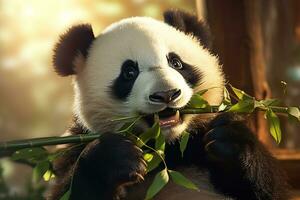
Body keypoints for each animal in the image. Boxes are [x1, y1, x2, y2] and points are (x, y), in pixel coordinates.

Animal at [47, 10, 288, 200]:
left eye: (176, 63)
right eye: (129, 72)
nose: (166, 94)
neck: (168, 149)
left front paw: (231, 140)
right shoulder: (73, 147)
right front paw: (112, 157)